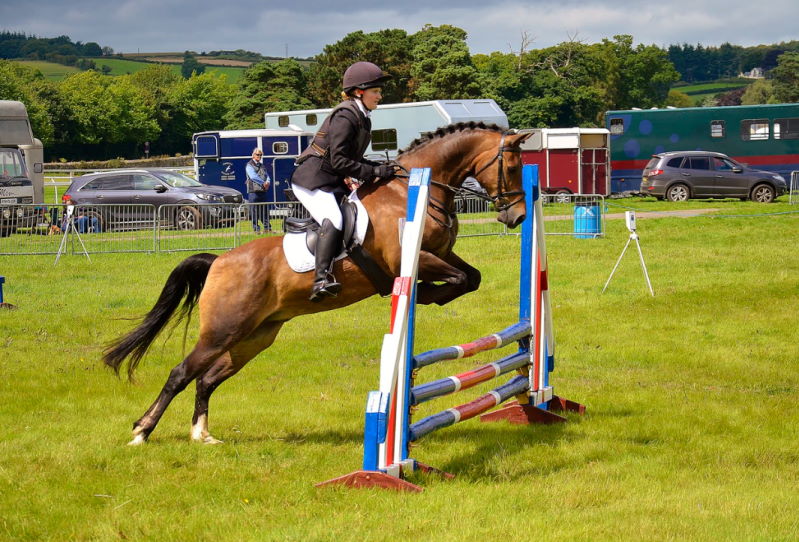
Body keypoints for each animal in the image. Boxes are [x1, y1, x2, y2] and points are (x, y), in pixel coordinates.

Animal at [104, 123, 532, 446]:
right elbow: (456, 278)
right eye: (512, 166)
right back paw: (142, 432)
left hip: (254, 336)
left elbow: (470, 277)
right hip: (222, 331)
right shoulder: (411, 258)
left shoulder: (442, 254)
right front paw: (424, 294)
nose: (516, 218)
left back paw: (202, 435)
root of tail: (219, 262)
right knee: (181, 373)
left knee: (207, 378)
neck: (415, 192)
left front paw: (428, 295)